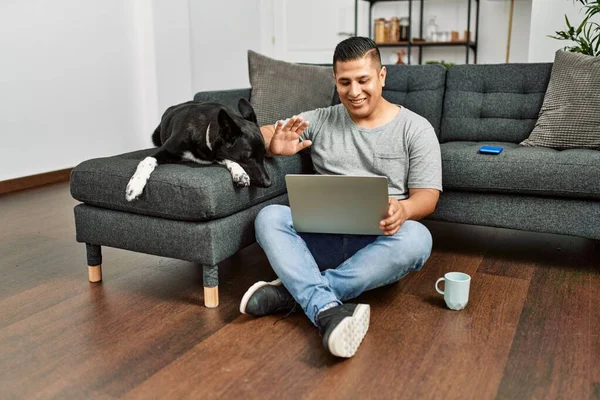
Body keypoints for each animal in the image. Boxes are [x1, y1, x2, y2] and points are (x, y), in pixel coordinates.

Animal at [126, 98, 272, 202]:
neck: (208, 127)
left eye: (264, 154)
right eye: (247, 157)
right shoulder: (165, 151)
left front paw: (240, 173)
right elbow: (147, 161)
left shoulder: (215, 153)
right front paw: (135, 186)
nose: (268, 183)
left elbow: (227, 158)